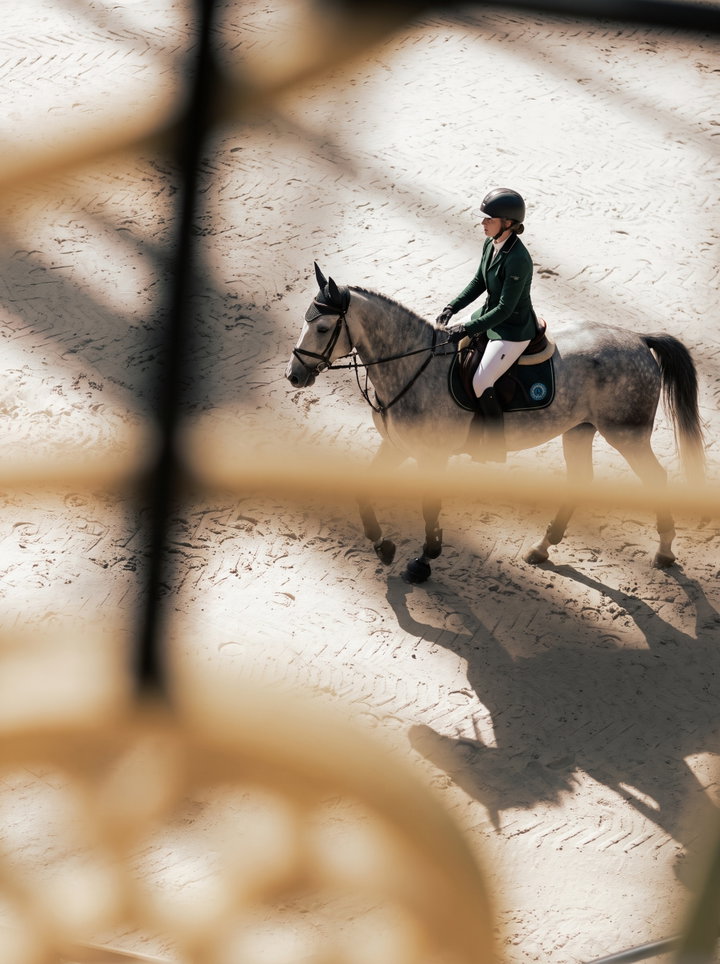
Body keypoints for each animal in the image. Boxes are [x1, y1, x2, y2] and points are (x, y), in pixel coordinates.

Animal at [285, 263, 705, 583]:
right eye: (305, 322)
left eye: (322, 328)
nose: (294, 375)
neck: (412, 366)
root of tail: (638, 338)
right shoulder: (397, 446)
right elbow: (363, 491)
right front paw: (383, 545)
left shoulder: (432, 457)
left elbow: (429, 508)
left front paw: (425, 559)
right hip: (579, 430)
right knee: (581, 481)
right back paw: (542, 547)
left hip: (626, 436)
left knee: (656, 480)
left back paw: (664, 553)